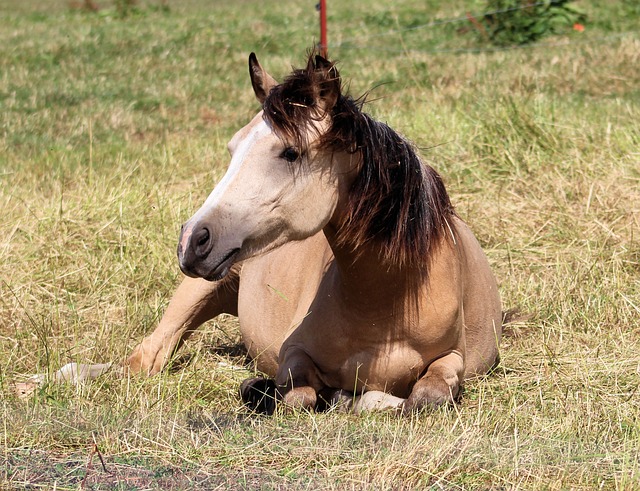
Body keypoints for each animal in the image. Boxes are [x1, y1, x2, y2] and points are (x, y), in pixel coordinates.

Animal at [125, 52, 502, 414]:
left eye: (291, 152)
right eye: (233, 149)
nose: (192, 240)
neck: (387, 303)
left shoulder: (452, 358)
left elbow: (427, 396)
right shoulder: (293, 352)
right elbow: (299, 396)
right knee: (151, 353)